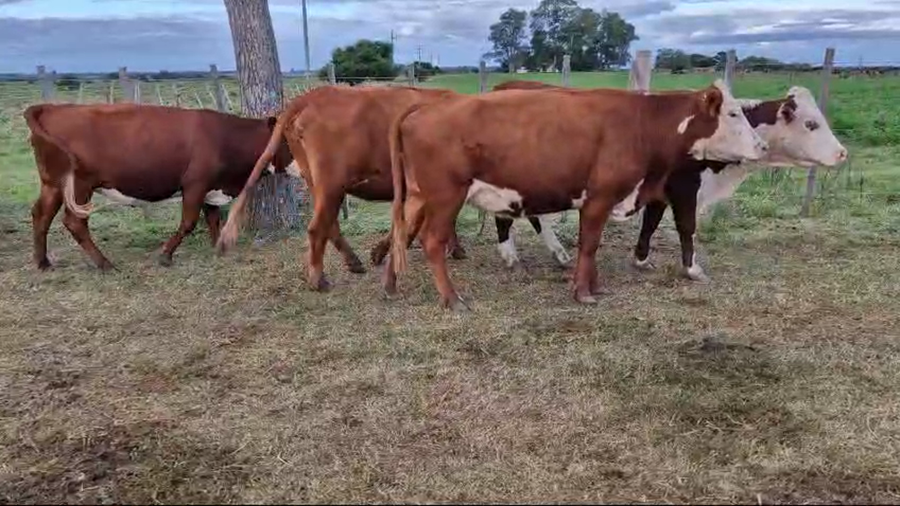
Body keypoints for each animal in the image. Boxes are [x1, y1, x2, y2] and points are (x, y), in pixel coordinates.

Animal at [24, 102, 293, 271]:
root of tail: (50, 107)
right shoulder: (195, 183)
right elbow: (189, 222)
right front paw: (165, 256)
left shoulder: (211, 188)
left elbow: (214, 219)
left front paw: (219, 248)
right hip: (80, 184)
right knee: (74, 222)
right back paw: (105, 264)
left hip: (53, 184)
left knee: (41, 214)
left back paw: (42, 262)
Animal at [215, 85, 466, 292]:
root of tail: (312, 95)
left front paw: (380, 253)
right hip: (331, 185)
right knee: (317, 228)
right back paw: (318, 280)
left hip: (318, 184)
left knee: (330, 225)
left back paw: (353, 262)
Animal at [383, 79, 769, 310]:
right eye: (733, 113)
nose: (763, 146)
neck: (640, 123)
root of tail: (426, 106)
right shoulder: (600, 196)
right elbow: (590, 244)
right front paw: (583, 292)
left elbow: (590, 243)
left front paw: (594, 286)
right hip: (446, 195)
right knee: (431, 242)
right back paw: (452, 298)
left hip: (418, 196)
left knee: (400, 234)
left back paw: (390, 286)